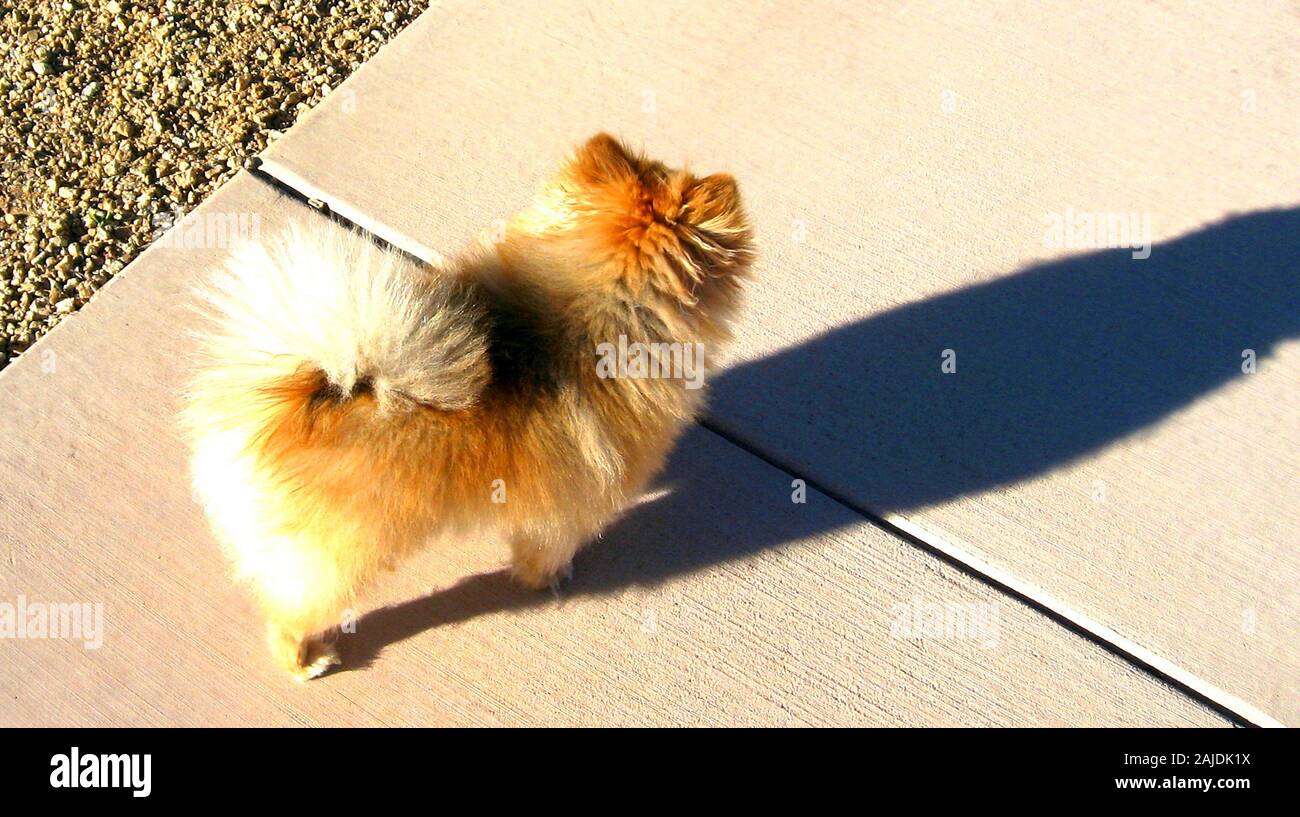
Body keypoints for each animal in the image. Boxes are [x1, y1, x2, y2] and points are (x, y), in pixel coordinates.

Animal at [179, 133, 759, 681]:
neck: (595, 316)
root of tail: (284, 402)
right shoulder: (569, 502)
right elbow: (549, 543)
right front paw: (552, 576)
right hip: (340, 553)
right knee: (293, 610)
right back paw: (308, 661)